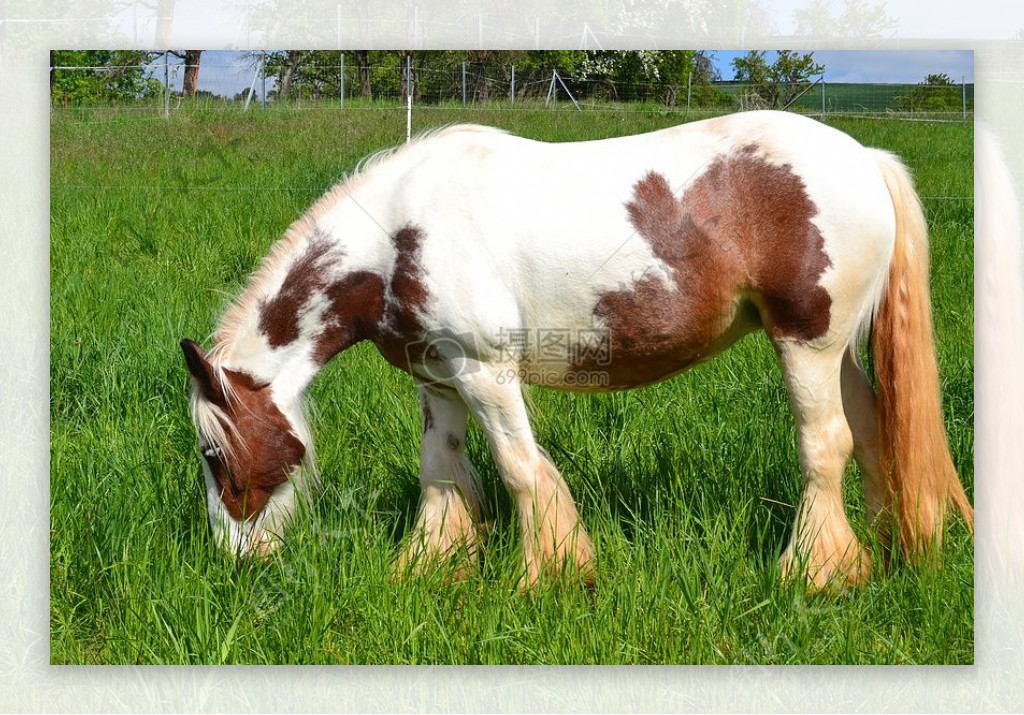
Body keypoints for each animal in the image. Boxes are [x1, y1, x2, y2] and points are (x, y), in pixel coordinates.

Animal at [180, 108, 970, 585]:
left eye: (215, 454)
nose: (235, 562)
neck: (397, 236)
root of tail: (865, 158)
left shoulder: (486, 372)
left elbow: (521, 469)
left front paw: (547, 576)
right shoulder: (436, 379)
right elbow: (442, 472)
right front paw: (429, 565)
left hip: (807, 344)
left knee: (827, 445)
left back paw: (815, 572)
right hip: (839, 353)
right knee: (874, 430)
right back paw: (887, 553)